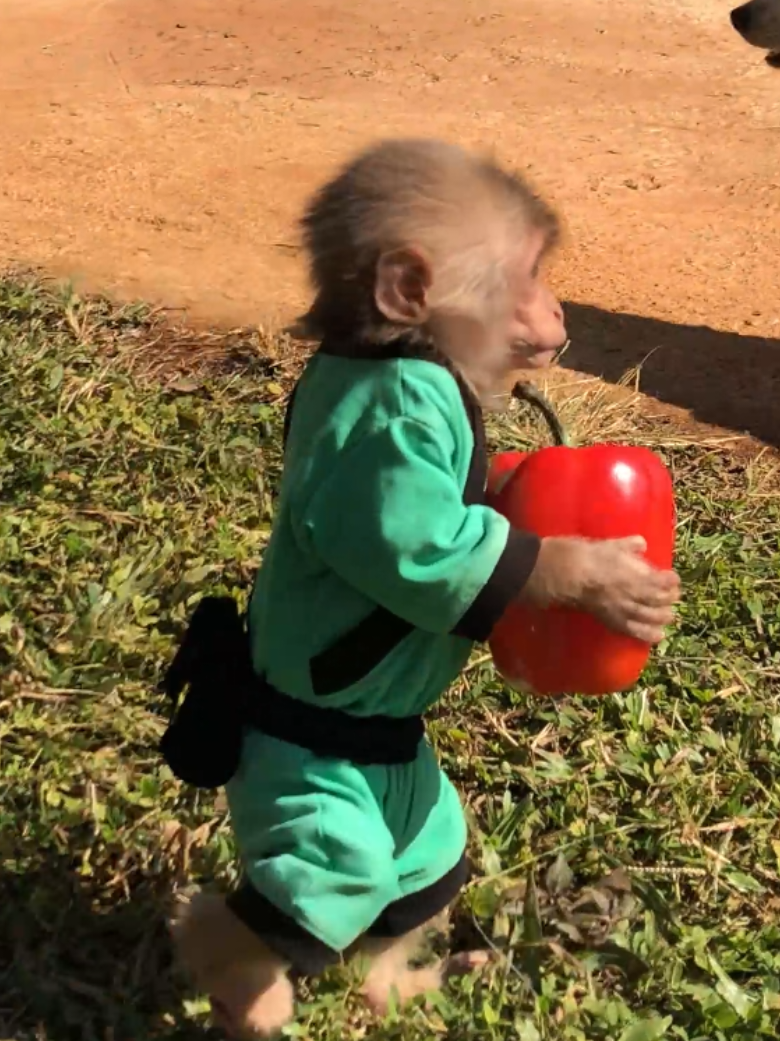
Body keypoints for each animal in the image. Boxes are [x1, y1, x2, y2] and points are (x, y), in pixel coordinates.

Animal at [167, 140, 678, 1041]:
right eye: (529, 273)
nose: (558, 310)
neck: (401, 347)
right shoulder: (392, 424)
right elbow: (433, 554)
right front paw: (602, 580)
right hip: (310, 787)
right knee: (327, 885)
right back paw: (239, 981)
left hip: (418, 805)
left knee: (416, 882)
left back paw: (393, 987)